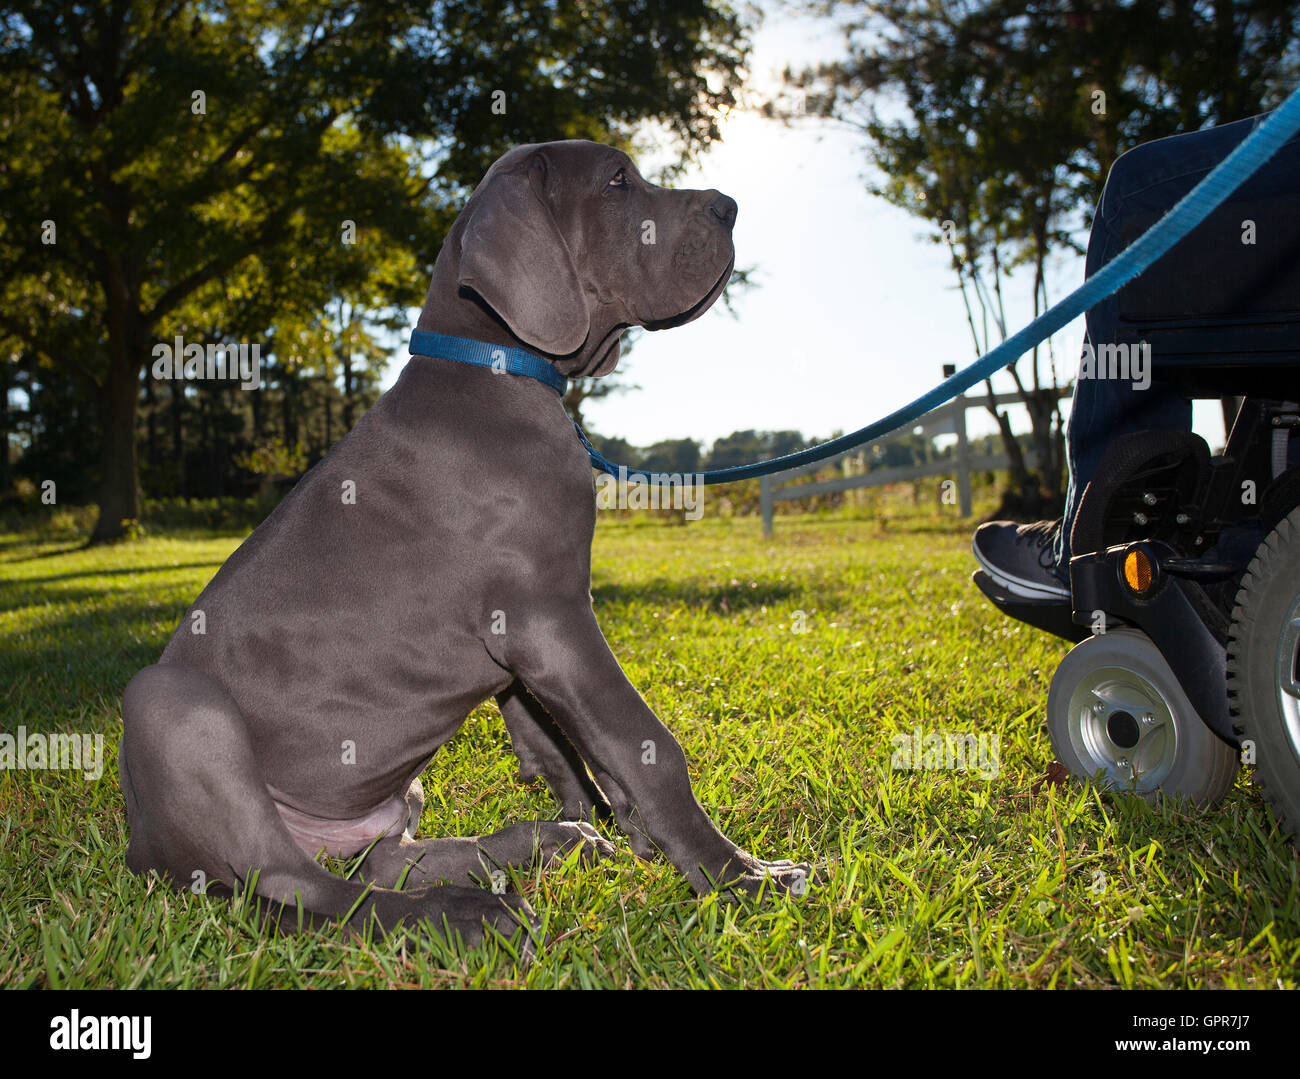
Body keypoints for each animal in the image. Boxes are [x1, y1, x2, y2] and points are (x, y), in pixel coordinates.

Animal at [122, 139, 811, 951]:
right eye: (617, 181)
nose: (730, 207)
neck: (495, 365)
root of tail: (139, 848)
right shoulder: (550, 616)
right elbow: (644, 743)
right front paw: (742, 877)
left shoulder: (527, 639)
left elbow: (561, 742)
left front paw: (619, 828)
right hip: (170, 703)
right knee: (305, 890)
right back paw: (463, 912)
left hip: (389, 792)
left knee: (376, 864)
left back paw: (535, 844)